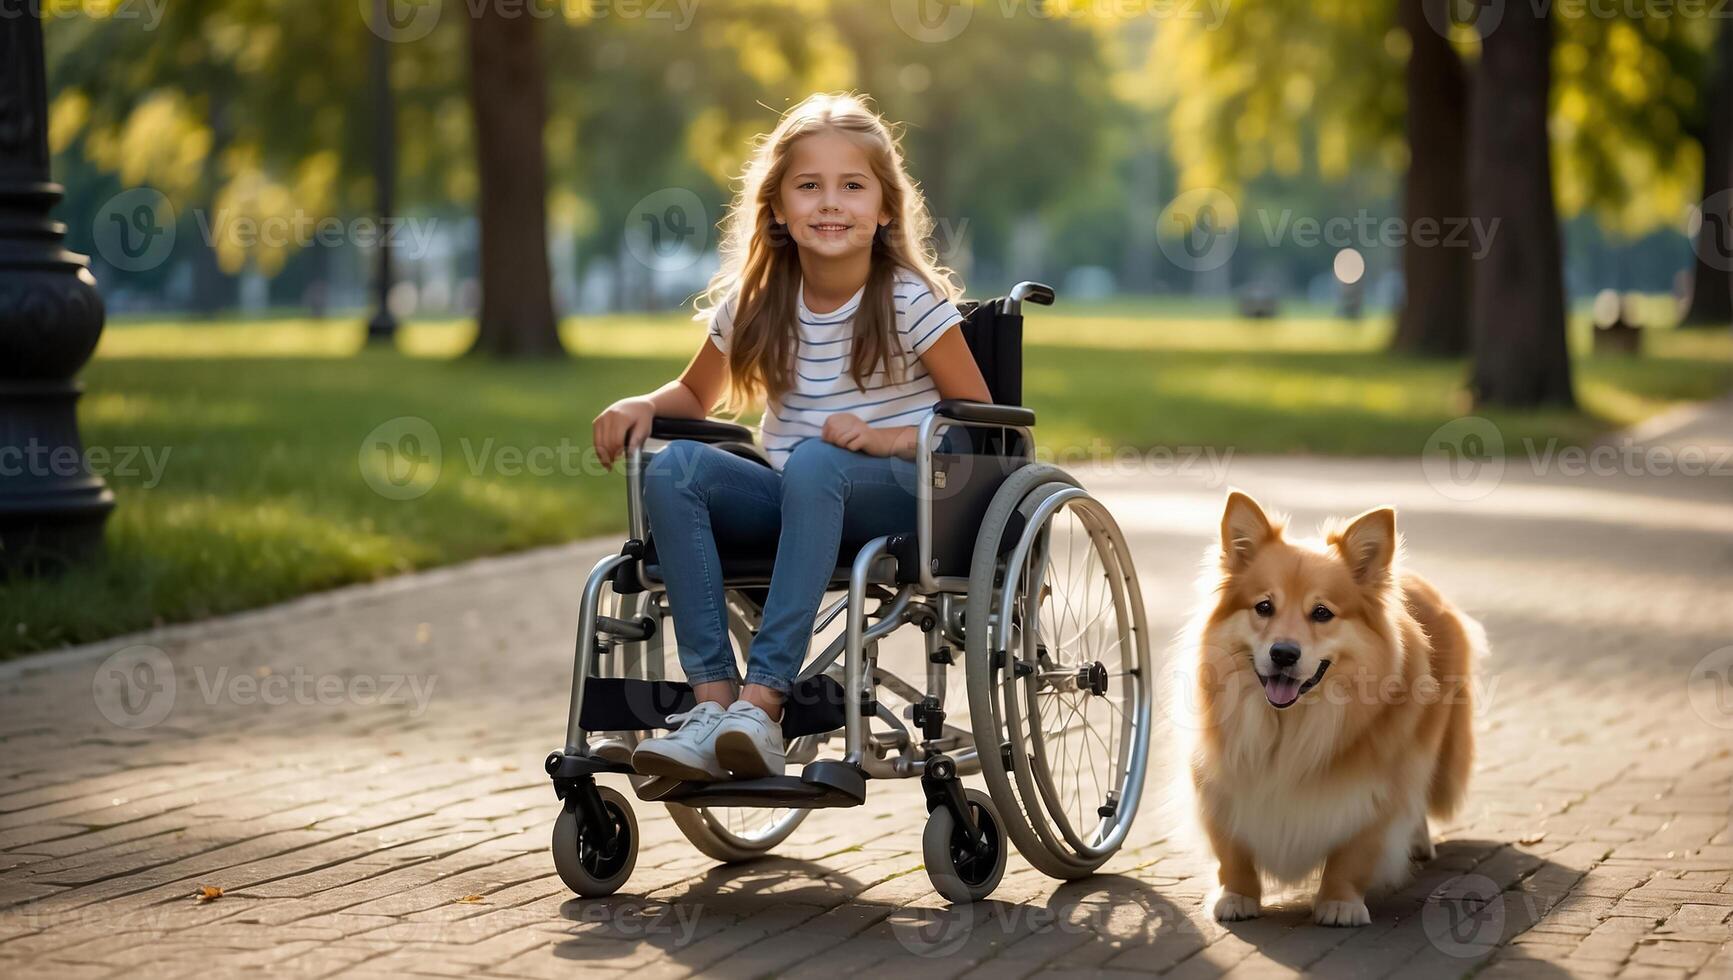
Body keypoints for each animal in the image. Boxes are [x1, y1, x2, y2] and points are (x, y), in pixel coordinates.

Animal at [1185, 489, 1483, 922]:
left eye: (1322, 613)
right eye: (1263, 607)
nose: (1283, 653)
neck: (1287, 727)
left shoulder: (1376, 789)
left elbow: (1354, 852)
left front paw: (1340, 903)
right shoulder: (1219, 778)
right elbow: (1231, 847)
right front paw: (1236, 895)